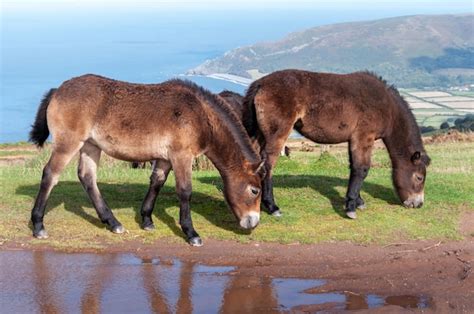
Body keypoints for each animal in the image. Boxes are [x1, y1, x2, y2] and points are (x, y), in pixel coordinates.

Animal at [28, 75, 266, 245]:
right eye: (255, 190)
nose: (253, 222)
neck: (200, 115)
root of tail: (58, 90)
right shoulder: (181, 156)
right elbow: (185, 191)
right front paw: (191, 233)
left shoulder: (165, 158)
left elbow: (156, 183)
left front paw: (147, 220)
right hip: (68, 143)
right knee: (50, 174)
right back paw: (38, 225)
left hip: (90, 146)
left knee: (87, 177)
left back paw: (113, 222)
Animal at [243, 69, 432, 218]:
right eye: (419, 177)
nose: (418, 204)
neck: (387, 106)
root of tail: (261, 83)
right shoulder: (364, 137)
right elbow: (362, 169)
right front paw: (351, 207)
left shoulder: (353, 139)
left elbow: (354, 168)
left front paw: (358, 201)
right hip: (277, 135)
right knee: (268, 165)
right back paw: (272, 207)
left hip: (260, 134)